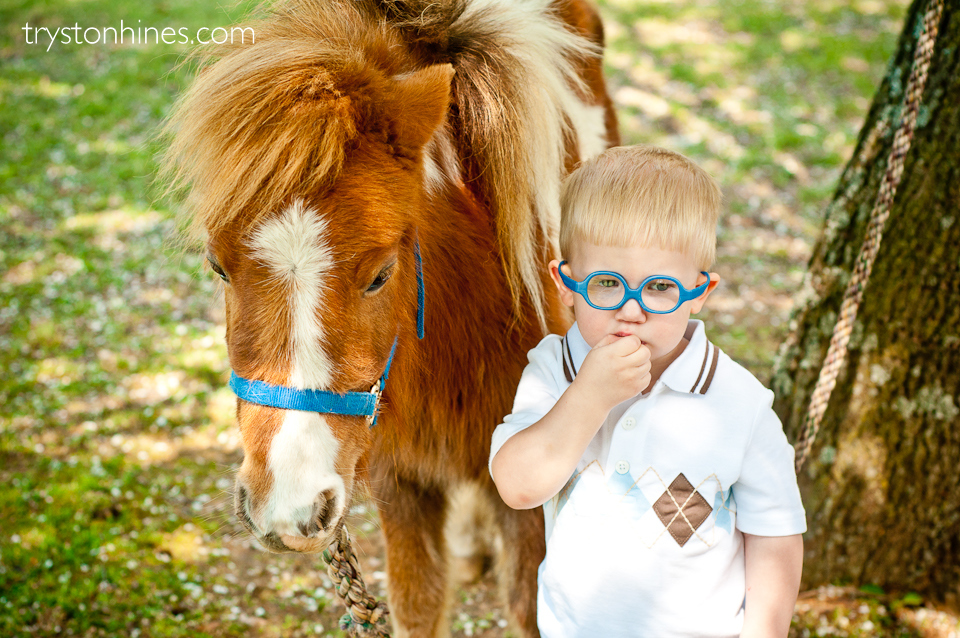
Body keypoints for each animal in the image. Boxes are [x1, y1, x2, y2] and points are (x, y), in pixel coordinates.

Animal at [162, 0, 618, 634]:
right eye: (217, 266)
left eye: (380, 274)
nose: (288, 506)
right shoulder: (395, 482)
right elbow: (417, 604)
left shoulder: (531, 494)